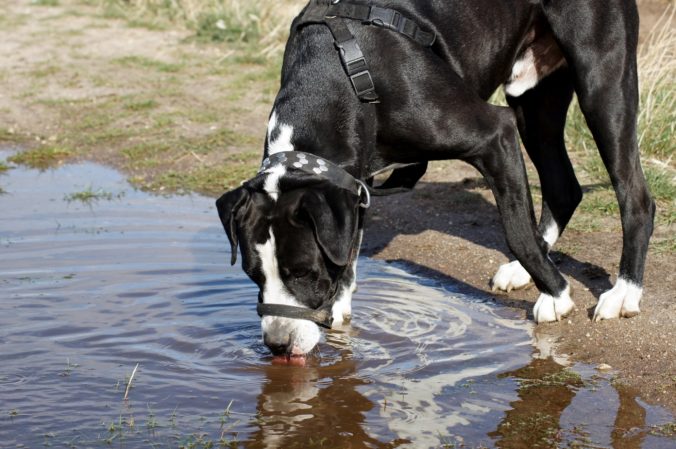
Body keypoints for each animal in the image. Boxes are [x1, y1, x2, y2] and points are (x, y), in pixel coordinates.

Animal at [215, 0, 656, 356]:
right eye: (254, 275)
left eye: (303, 273)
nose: (277, 344)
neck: (336, 81)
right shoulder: (354, 183)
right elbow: (348, 252)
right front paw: (338, 309)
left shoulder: (494, 135)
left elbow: (515, 230)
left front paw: (559, 294)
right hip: (534, 99)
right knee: (564, 187)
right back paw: (521, 270)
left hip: (601, 80)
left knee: (634, 196)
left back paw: (623, 291)